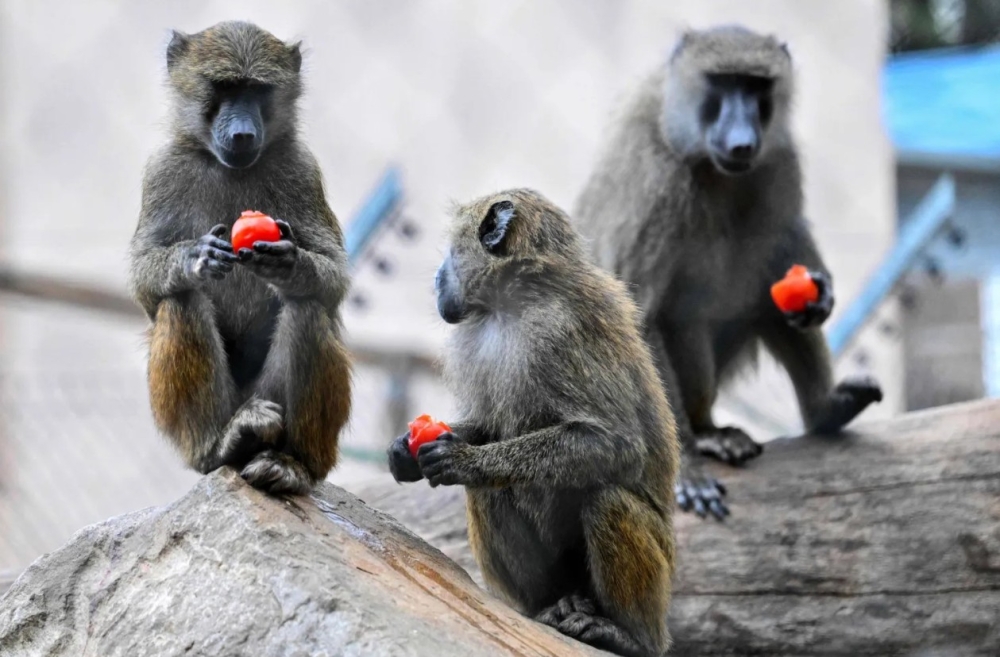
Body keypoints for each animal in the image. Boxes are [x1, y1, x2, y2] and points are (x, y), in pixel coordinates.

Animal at [127, 21, 351, 496]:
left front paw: (290, 264)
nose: (244, 134)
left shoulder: (302, 170)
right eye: (225, 87)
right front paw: (193, 256)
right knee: (182, 300)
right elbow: (145, 282)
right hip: (233, 408)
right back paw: (222, 444)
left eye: (257, 90)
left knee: (307, 307)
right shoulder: (162, 171)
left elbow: (333, 279)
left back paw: (292, 464)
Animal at [386, 190, 679, 657]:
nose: (435, 278)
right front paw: (405, 452)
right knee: (490, 492)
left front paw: (466, 460)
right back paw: (552, 606)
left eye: (451, 251)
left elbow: (615, 443)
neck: (516, 302)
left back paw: (630, 637)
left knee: (607, 500)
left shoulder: (563, 333)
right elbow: (488, 427)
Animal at [573, 25, 883, 520]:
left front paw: (822, 290)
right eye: (722, 84)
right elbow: (638, 317)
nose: (742, 142)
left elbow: (786, 234)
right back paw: (704, 437)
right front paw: (686, 472)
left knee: (769, 296)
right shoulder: (658, 182)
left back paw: (824, 411)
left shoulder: (778, 159)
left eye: (756, 87)